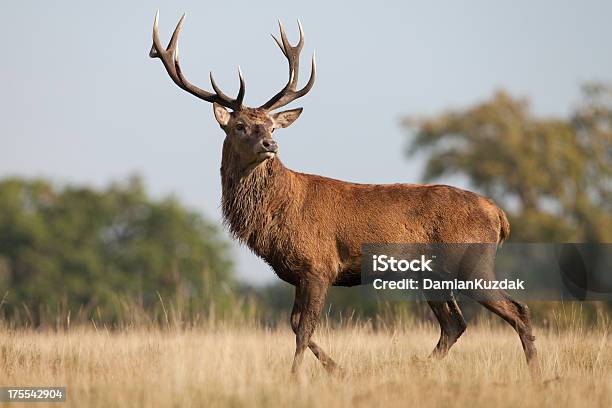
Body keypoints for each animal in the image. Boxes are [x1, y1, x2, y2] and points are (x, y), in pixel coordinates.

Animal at [151, 12, 544, 380]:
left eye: (272, 125)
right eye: (240, 125)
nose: (270, 145)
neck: (276, 216)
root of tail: (499, 215)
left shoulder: (318, 264)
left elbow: (302, 328)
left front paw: (297, 377)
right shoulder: (301, 273)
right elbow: (296, 325)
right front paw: (337, 370)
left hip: (471, 262)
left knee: (517, 310)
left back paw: (535, 375)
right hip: (432, 274)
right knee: (455, 324)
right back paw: (417, 367)